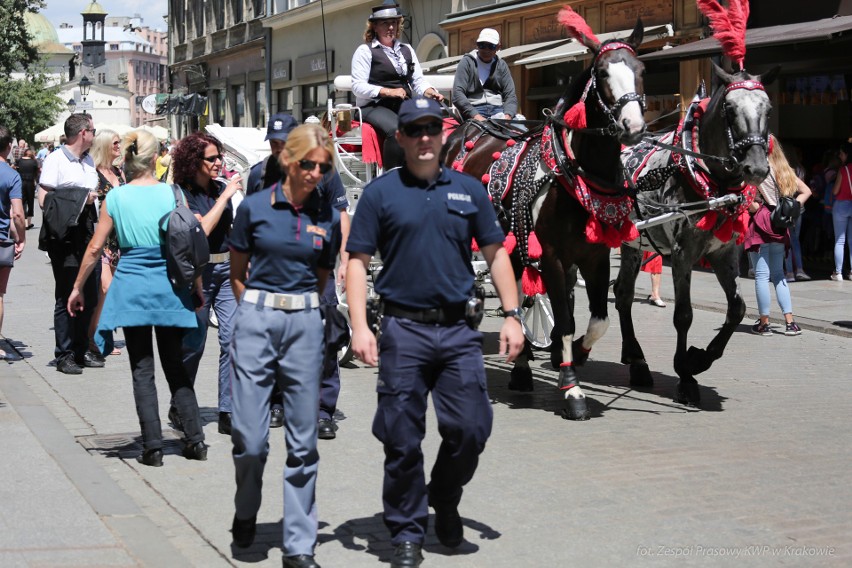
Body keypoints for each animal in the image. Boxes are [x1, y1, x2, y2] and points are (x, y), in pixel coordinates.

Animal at [446, 13, 644, 420]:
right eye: (603, 72)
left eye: (641, 70)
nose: (633, 127)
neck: (576, 173)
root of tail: (465, 130)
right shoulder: (552, 255)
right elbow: (566, 320)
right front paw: (572, 388)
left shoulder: (596, 255)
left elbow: (598, 320)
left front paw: (577, 353)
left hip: (512, 242)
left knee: (520, 295)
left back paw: (522, 368)